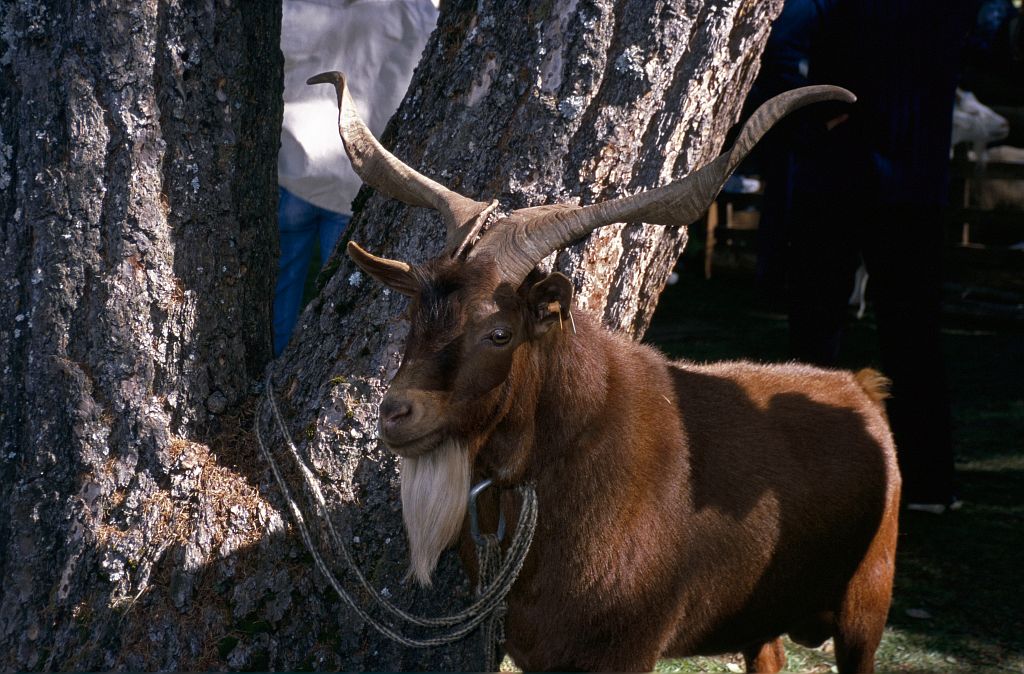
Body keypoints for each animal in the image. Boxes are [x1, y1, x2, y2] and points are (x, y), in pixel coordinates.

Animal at [309, 70, 897, 667]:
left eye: (500, 333)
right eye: (412, 317)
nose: (395, 414)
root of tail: (860, 388)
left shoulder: (629, 646)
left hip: (867, 599)